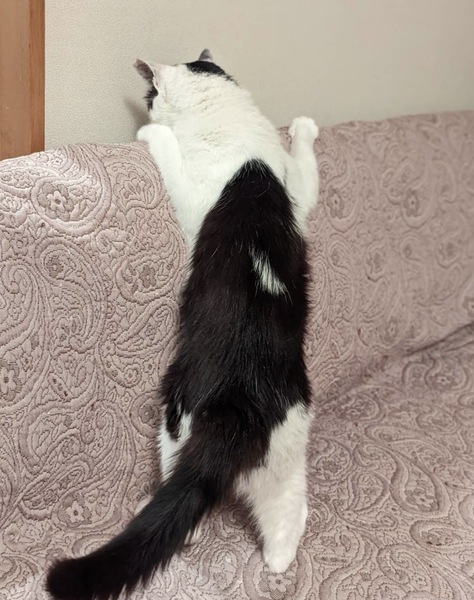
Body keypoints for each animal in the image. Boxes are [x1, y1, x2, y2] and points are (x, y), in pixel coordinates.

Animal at [46, 49, 319, 600]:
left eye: (151, 96)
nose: (148, 110)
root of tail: (243, 409)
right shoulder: (297, 194)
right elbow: (306, 172)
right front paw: (305, 127)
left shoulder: (195, 196)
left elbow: (170, 156)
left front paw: (153, 134)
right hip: (286, 455)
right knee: (288, 516)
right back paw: (278, 564)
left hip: (175, 413)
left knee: (184, 510)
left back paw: (152, 510)